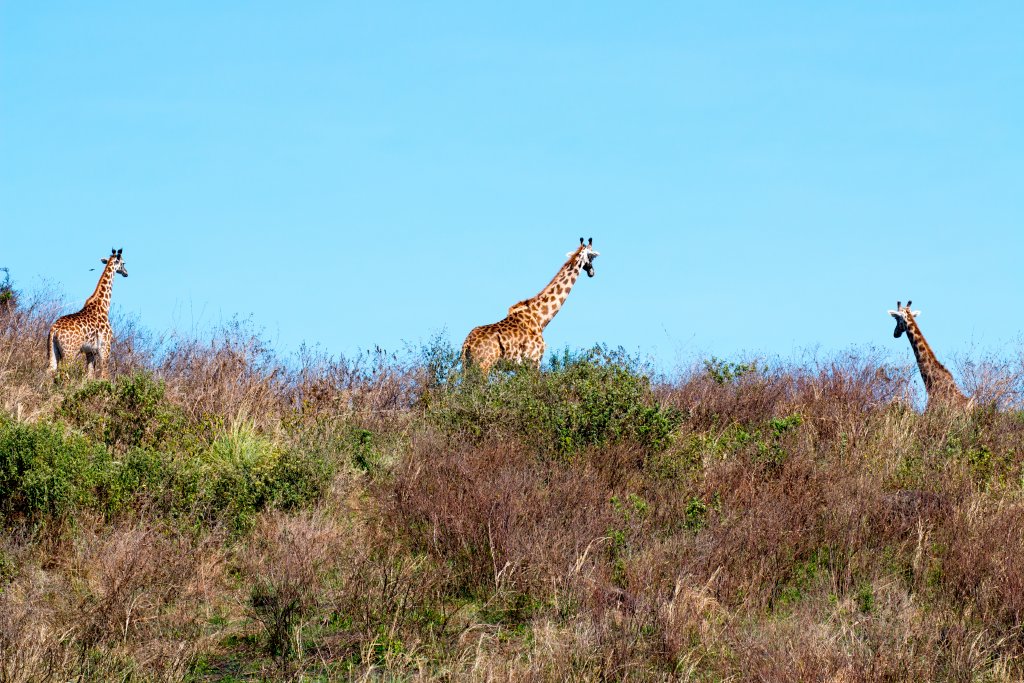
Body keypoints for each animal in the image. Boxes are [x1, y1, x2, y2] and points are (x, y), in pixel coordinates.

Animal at [47, 248, 129, 380]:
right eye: (123, 263)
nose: (126, 273)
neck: (103, 305)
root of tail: (54, 330)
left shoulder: (90, 350)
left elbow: (90, 375)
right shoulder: (105, 347)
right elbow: (104, 375)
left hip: (53, 351)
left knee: (50, 370)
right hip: (70, 352)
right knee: (64, 373)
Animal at [461, 237, 599, 372]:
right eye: (592, 256)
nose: (592, 272)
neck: (541, 318)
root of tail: (467, 344)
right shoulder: (534, 360)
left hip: (468, 367)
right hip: (484, 364)